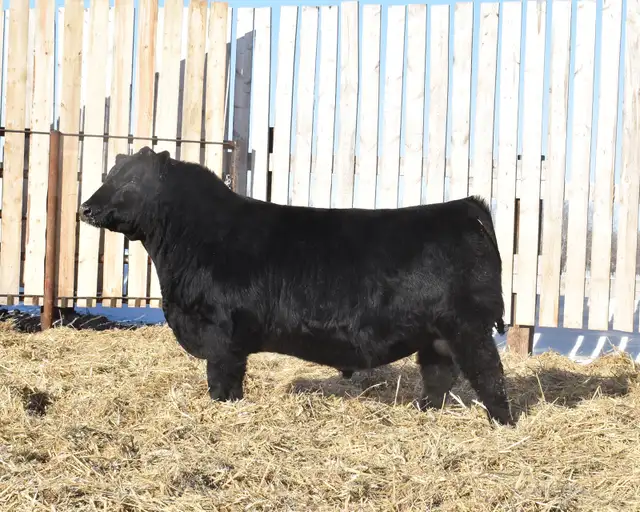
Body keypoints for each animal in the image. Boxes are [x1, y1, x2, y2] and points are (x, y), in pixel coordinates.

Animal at [79, 146, 514, 426]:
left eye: (130, 181)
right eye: (109, 175)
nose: (86, 208)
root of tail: (464, 206)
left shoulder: (222, 333)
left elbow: (223, 379)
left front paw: (222, 408)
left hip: (468, 327)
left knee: (488, 374)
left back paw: (502, 423)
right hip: (435, 334)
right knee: (439, 376)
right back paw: (423, 411)